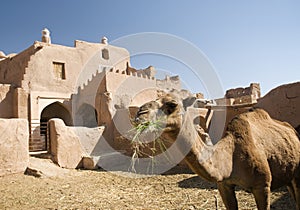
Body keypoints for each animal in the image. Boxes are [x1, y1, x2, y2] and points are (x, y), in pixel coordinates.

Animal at [135, 94, 300, 210]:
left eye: (172, 104)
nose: (140, 113)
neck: (231, 159)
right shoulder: (224, 186)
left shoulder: (262, 185)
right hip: (287, 173)